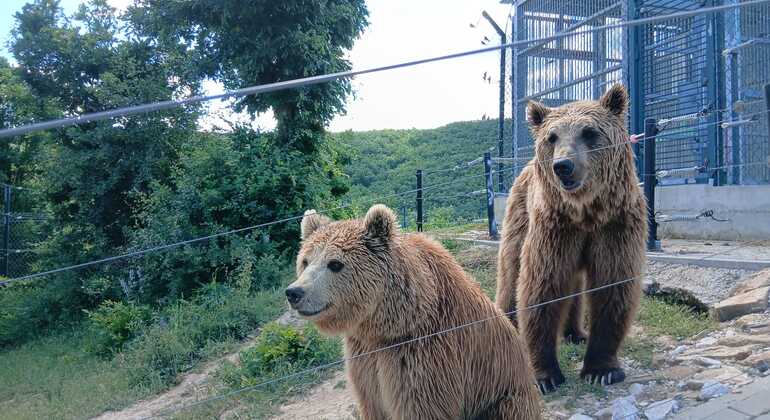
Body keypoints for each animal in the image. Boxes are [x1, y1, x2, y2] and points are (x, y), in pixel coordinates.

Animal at [286, 205, 542, 420]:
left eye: (335, 264)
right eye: (305, 261)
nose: (294, 292)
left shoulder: (422, 357)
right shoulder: (365, 358)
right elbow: (371, 402)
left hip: (503, 396)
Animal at [495, 84, 647, 393]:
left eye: (589, 132)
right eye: (552, 137)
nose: (563, 165)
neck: (585, 212)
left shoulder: (615, 226)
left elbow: (612, 286)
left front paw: (602, 370)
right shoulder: (554, 229)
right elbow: (542, 286)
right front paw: (545, 375)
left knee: (574, 284)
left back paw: (575, 332)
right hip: (519, 217)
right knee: (510, 270)